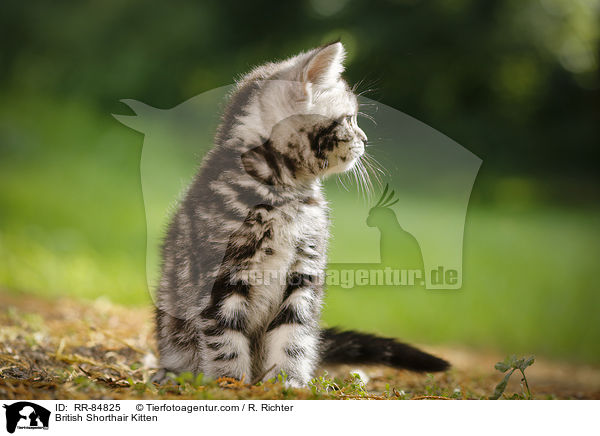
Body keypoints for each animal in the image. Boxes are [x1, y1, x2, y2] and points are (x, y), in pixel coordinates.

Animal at [155, 42, 450, 386]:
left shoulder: (304, 273)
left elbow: (293, 337)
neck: (284, 196)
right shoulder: (218, 278)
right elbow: (225, 340)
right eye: (349, 119)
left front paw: (289, 384)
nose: (364, 140)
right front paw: (231, 384)